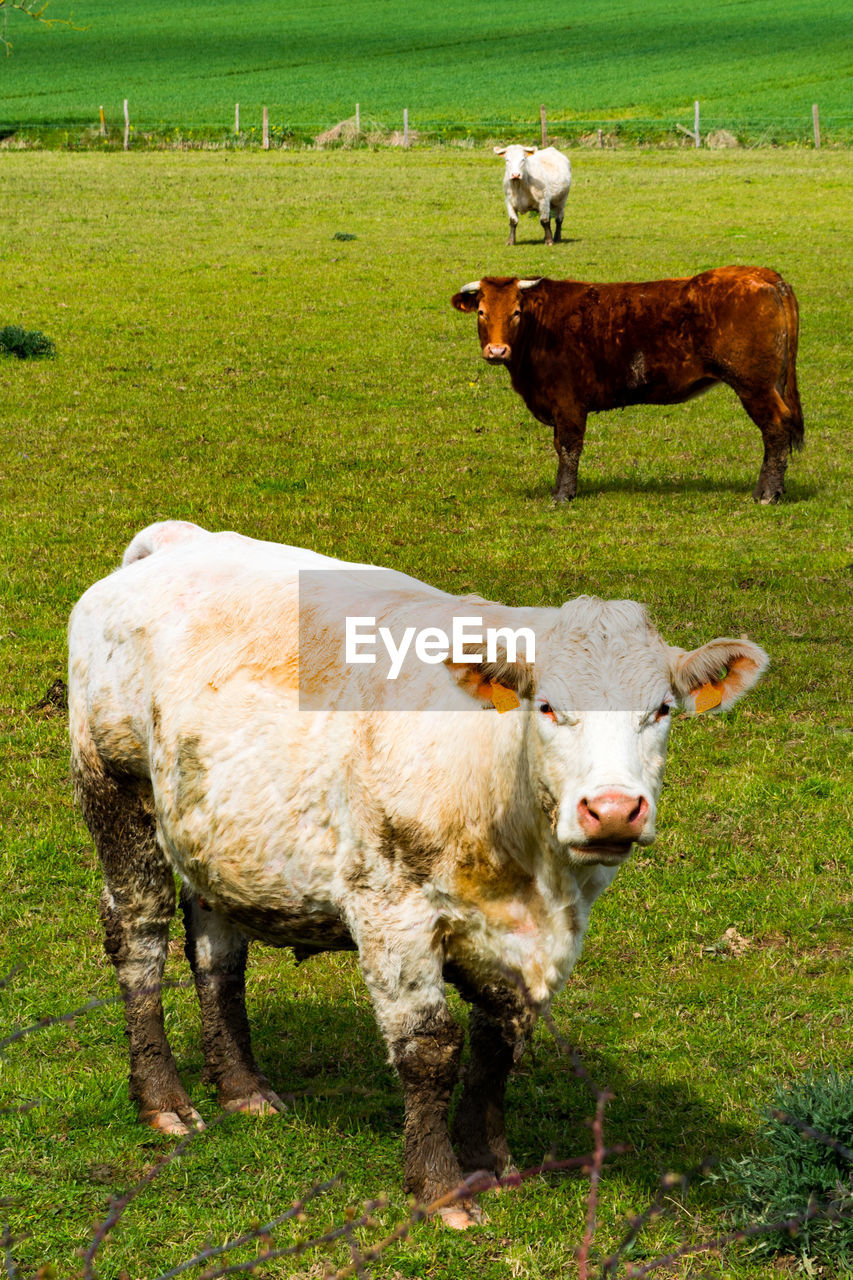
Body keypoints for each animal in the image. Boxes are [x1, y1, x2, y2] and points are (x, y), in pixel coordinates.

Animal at [69, 522, 768, 1228]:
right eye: (546, 706)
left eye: (662, 709)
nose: (614, 810)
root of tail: (180, 538)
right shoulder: (389, 908)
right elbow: (430, 1047)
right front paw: (440, 1187)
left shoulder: (535, 932)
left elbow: (500, 1038)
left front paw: (489, 1159)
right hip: (116, 788)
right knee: (140, 935)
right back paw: (163, 1099)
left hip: (215, 834)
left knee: (217, 949)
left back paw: (243, 1087)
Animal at [448, 266, 799, 504]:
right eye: (481, 312)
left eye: (516, 312)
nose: (497, 351)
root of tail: (763, 275)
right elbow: (560, 446)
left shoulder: (569, 403)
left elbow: (569, 447)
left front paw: (563, 495)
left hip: (755, 386)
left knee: (776, 428)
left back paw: (766, 493)